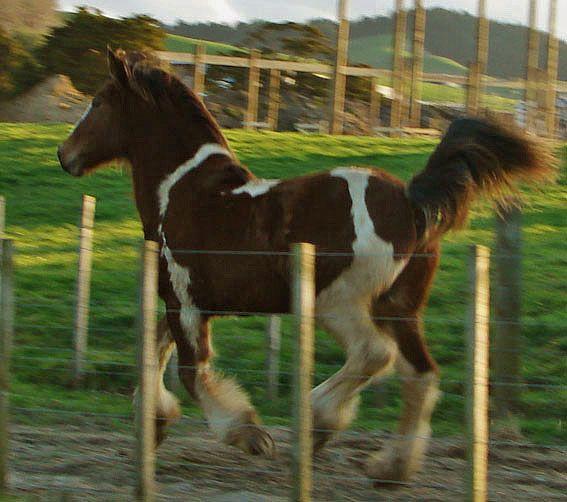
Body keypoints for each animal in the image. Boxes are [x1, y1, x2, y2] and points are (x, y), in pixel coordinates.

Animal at [56, 49, 556, 484]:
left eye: (98, 102)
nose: (65, 155)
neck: (184, 193)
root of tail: (413, 203)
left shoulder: (187, 304)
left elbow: (190, 371)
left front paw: (250, 435)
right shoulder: (180, 302)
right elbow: (154, 354)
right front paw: (154, 423)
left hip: (337, 302)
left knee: (375, 355)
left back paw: (316, 424)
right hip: (398, 307)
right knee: (420, 373)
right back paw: (390, 468)